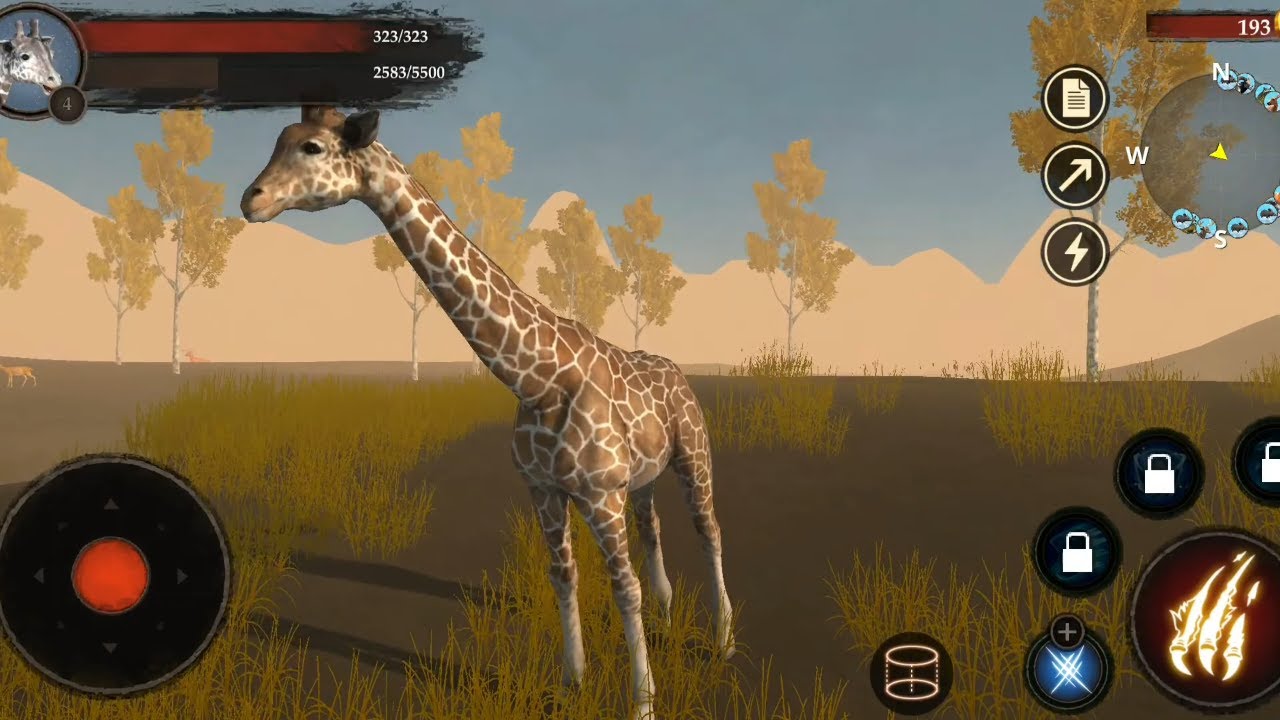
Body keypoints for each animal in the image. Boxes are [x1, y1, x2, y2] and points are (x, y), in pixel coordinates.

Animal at [240, 106, 733, 719]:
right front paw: (571, 682)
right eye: (277, 140)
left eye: (311, 147)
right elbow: (563, 576)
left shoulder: (598, 493)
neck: (539, 379)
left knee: (709, 530)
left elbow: (623, 589)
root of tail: (679, 372)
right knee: (655, 526)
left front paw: (642, 703)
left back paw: (723, 640)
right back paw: (668, 614)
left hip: (692, 455)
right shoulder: (544, 489)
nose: (251, 199)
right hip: (640, 480)